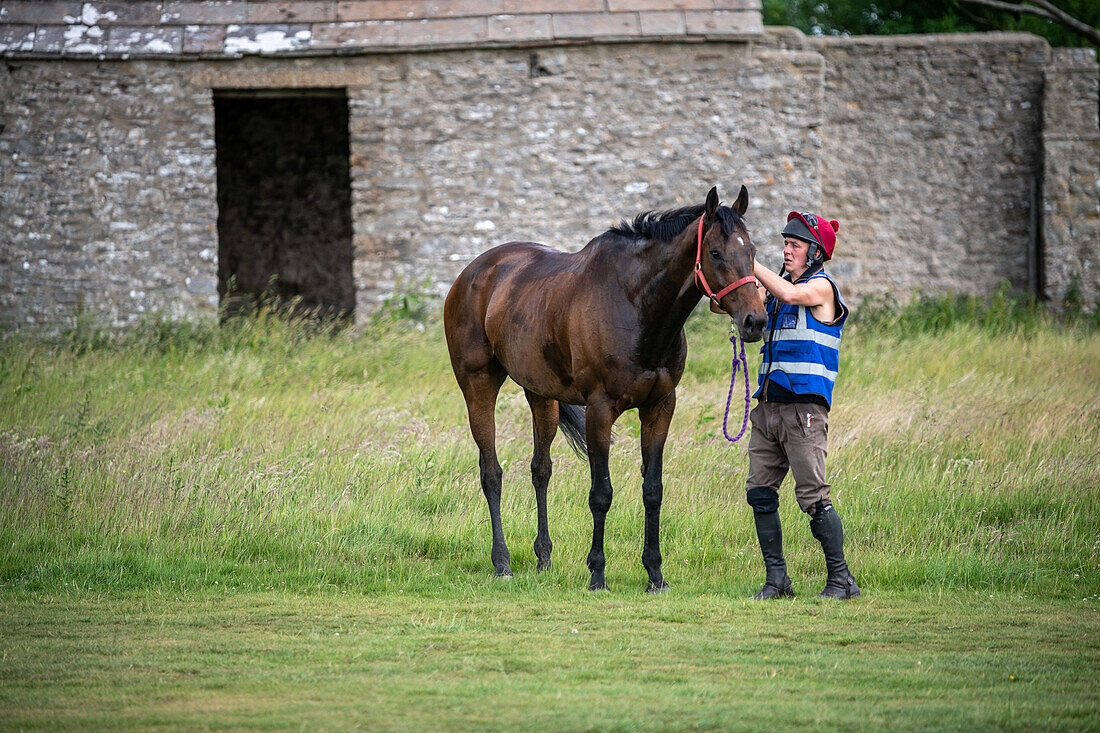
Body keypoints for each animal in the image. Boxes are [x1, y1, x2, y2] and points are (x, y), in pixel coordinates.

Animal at [440, 186, 765, 589]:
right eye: (716, 253)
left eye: (752, 252)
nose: (755, 321)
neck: (635, 306)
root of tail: (471, 273)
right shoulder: (599, 410)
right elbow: (601, 494)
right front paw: (597, 573)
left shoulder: (660, 408)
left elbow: (653, 491)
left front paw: (655, 574)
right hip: (478, 386)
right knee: (491, 473)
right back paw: (502, 563)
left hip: (541, 395)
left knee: (540, 470)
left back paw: (543, 557)